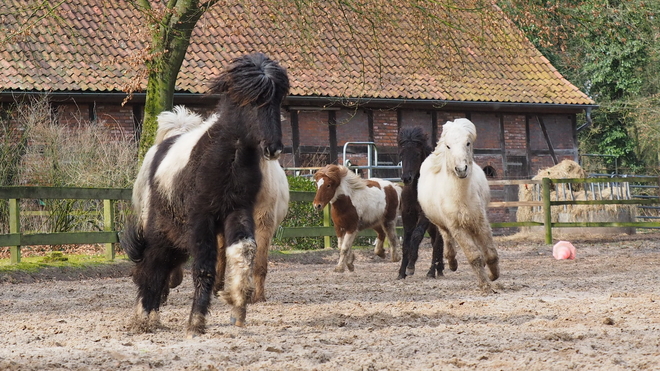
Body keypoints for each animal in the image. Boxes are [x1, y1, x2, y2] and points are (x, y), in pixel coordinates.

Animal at [122, 53, 292, 338]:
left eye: (278, 99)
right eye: (251, 100)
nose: (274, 149)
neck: (227, 160)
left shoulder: (238, 212)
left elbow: (244, 251)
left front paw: (237, 305)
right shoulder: (202, 217)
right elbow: (203, 266)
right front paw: (196, 322)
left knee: (164, 263)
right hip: (161, 227)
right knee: (153, 263)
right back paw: (144, 317)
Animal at [398, 127, 448, 280]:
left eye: (417, 154)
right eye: (401, 154)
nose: (406, 178)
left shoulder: (424, 216)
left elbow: (416, 236)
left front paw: (411, 266)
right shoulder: (407, 215)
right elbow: (406, 242)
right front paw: (401, 272)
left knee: (438, 243)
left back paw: (432, 272)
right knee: (435, 242)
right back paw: (439, 269)